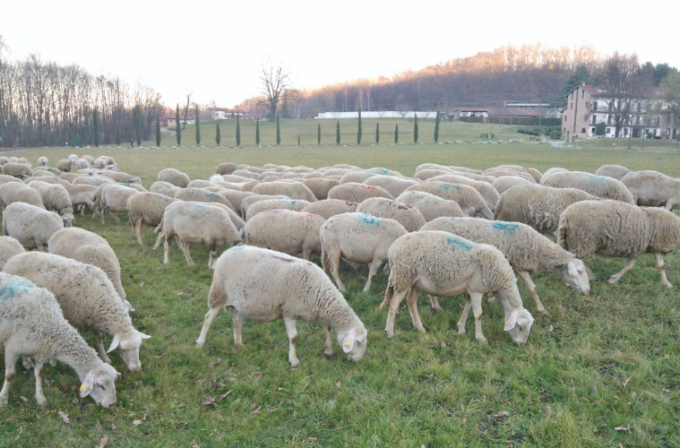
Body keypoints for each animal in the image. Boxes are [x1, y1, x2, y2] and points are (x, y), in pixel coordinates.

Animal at [0, 273, 119, 407]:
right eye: (100, 385)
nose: (112, 404)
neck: (53, 326)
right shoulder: (12, 349)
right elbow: (10, 376)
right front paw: (3, 399)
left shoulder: (40, 350)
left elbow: (38, 373)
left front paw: (40, 397)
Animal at [4, 252, 150, 371]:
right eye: (124, 350)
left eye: (139, 347)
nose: (137, 369)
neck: (103, 298)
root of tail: (13, 258)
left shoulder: (94, 320)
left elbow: (99, 340)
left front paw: (104, 357)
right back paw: (27, 362)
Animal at [195, 246, 367, 367]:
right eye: (358, 343)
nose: (358, 361)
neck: (321, 294)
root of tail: (226, 252)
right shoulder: (289, 312)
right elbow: (294, 337)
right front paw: (294, 360)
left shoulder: (319, 312)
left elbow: (328, 328)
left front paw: (329, 350)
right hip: (219, 294)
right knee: (208, 318)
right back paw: (200, 343)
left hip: (241, 303)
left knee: (236, 319)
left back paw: (239, 344)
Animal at [380, 230, 534, 345]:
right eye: (520, 327)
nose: (522, 344)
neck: (500, 278)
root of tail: (392, 249)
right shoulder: (476, 290)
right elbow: (478, 314)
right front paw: (480, 337)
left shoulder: (470, 290)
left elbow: (467, 309)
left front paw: (460, 329)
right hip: (403, 277)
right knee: (393, 304)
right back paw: (390, 332)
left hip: (415, 282)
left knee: (411, 302)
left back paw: (420, 328)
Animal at [421, 217, 591, 314]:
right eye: (579, 271)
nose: (588, 291)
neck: (539, 248)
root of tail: (423, 227)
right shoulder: (521, 265)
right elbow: (533, 288)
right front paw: (542, 309)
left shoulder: (511, 267)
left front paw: (490, 300)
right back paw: (436, 306)